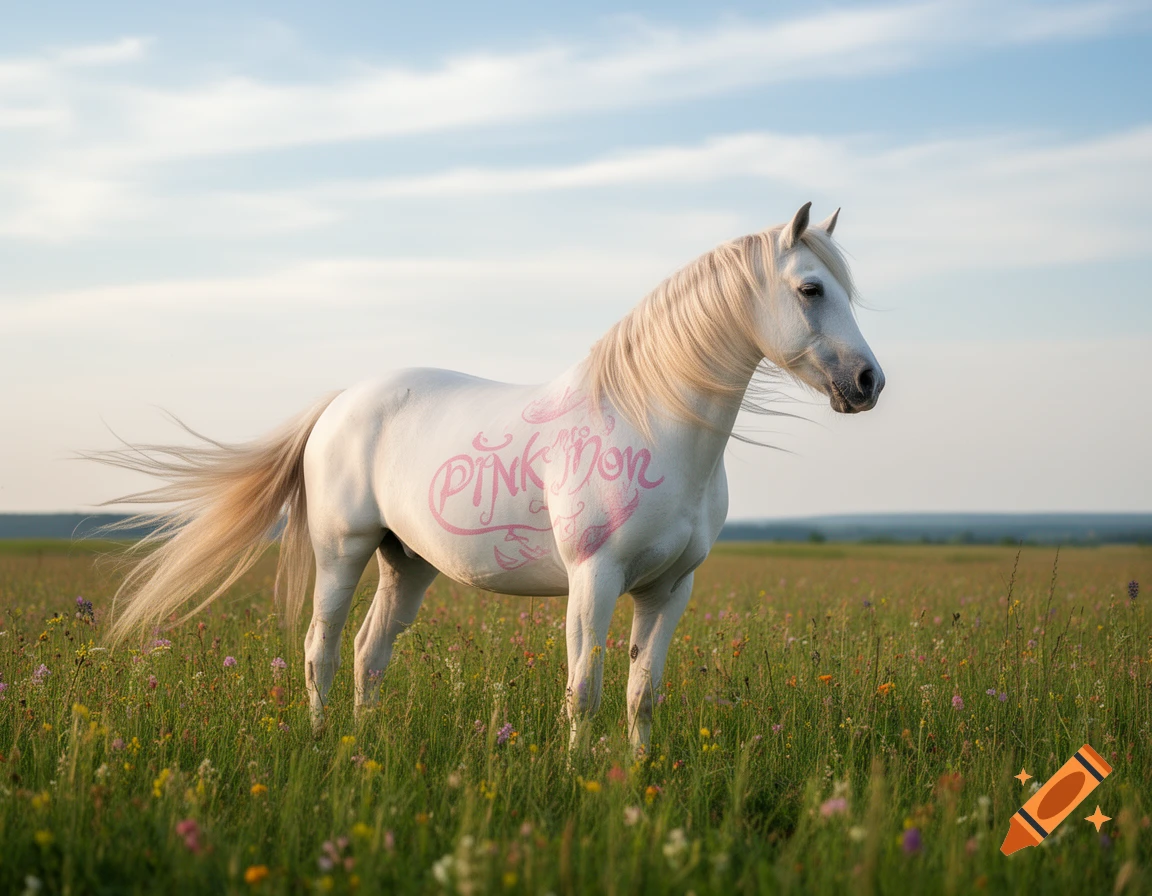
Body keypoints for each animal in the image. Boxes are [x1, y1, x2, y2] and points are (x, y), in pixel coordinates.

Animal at [98, 202, 884, 752]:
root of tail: (340, 403)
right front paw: (579, 776)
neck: (653, 421)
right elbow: (584, 690)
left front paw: (638, 778)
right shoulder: (593, 578)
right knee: (322, 649)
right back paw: (321, 741)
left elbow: (642, 693)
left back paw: (363, 743)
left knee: (370, 655)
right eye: (810, 289)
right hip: (341, 552)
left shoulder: (670, 589)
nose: (868, 382)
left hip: (407, 564)